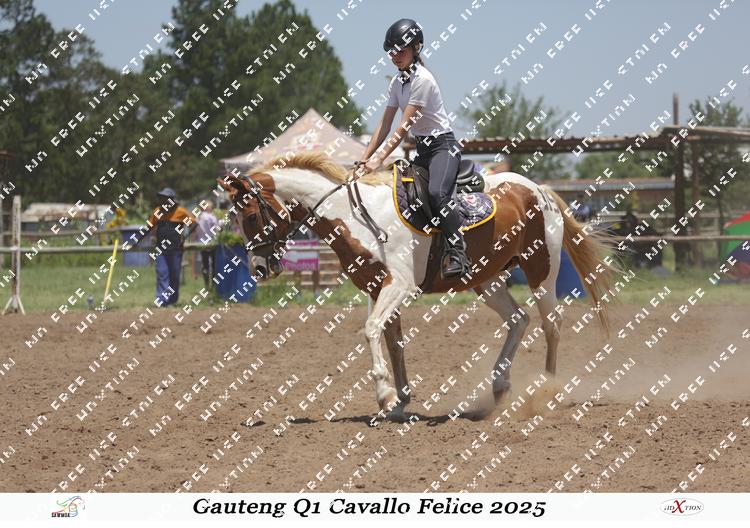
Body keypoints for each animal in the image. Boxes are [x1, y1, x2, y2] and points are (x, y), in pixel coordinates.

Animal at [219, 151, 613, 422]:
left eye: (250, 215)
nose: (258, 268)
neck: (354, 216)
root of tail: (538, 189)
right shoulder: (376, 288)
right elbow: (393, 342)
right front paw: (399, 401)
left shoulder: (399, 285)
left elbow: (371, 329)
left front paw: (383, 393)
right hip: (485, 279)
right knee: (519, 320)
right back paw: (500, 386)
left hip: (541, 269)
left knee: (551, 324)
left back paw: (546, 390)